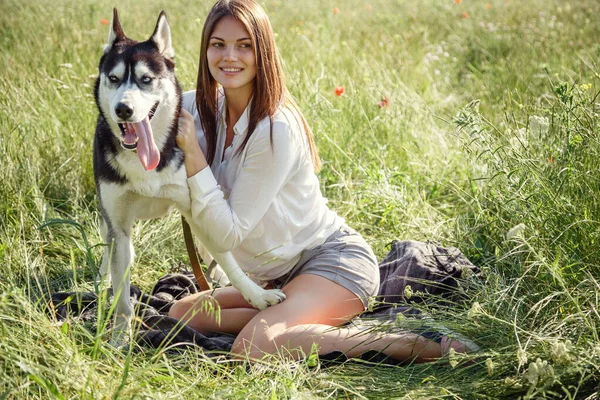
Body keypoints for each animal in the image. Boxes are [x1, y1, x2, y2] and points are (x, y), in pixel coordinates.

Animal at [94, 10, 286, 346]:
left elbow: (227, 256)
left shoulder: (193, 207)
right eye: (113, 79)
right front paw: (119, 338)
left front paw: (257, 295)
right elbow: (122, 295)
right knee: (111, 246)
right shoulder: (118, 221)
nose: (123, 109)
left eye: (146, 79)